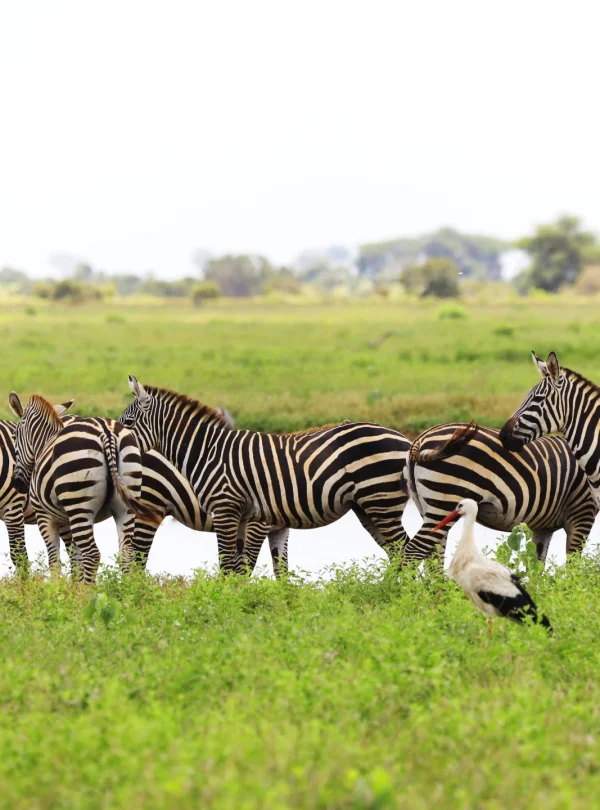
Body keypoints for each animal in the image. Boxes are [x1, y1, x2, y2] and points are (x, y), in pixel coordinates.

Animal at [9, 392, 158, 582]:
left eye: (14, 437)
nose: (18, 484)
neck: (44, 443)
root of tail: (107, 433)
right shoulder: (71, 519)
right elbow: (75, 560)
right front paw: (74, 586)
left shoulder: (46, 517)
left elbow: (55, 561)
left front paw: (58, 588)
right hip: (125, 505)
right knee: (126, 554)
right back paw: (126, 589)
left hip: (79, 503)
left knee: (92, 554)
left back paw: (87, 590)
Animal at [119, 377, 412, 573]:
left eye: (128, 423)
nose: (117, 444)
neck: (208, 451)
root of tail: (405, 440)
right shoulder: (249, 518)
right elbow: (253, 569)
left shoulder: (232, 513)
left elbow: (235, 567)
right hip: (369, 507)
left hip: (380, 501)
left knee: (405, 549)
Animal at [405, 421, 597, 566]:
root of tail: (421, 438)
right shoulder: (582, 512)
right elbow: (573, 564)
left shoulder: (543, 527)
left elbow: (536, 566)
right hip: (445, 502)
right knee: (414, 551)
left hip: (427, 507)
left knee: (434, 555)